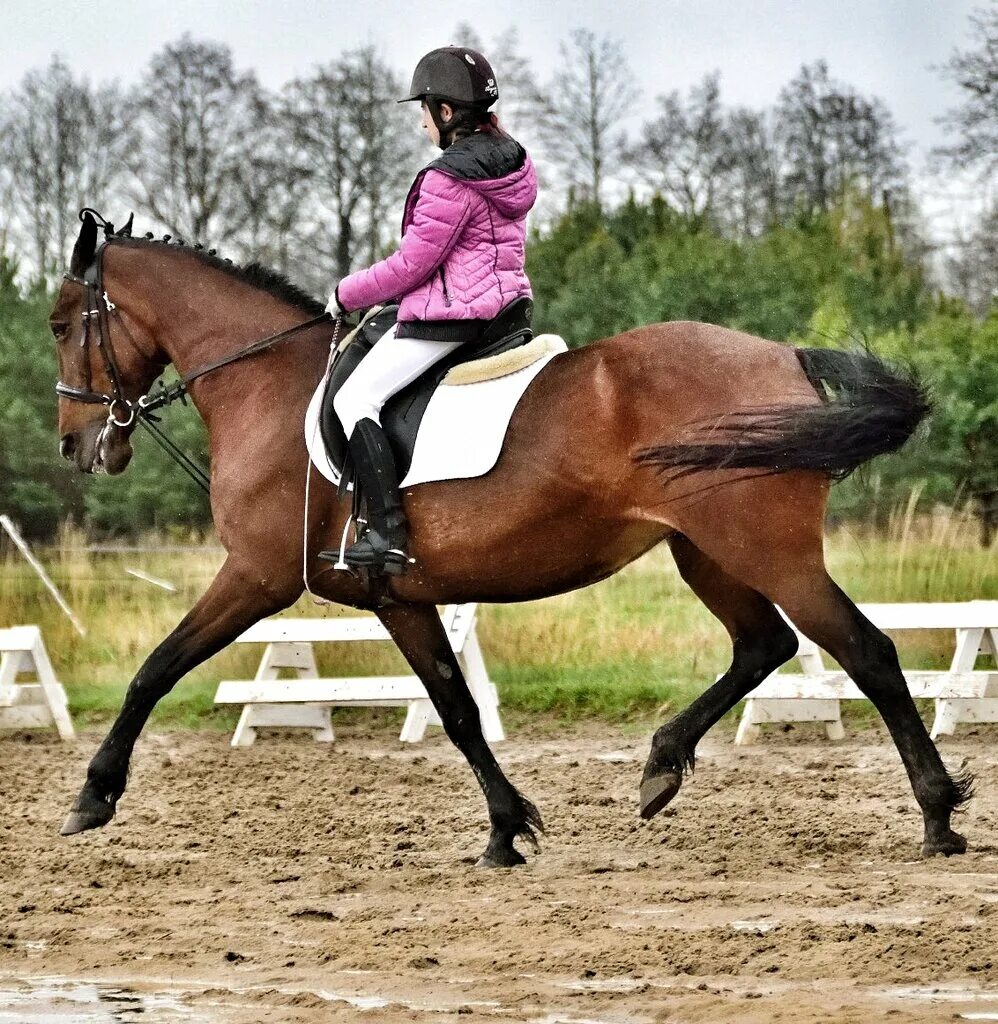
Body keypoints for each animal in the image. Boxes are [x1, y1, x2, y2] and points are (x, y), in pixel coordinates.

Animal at [50, 211, 970, 868]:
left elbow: (155, 669)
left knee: (865, 651)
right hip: (705, 551)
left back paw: (937, 817)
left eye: (62, 324)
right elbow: (456, 710)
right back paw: (661, 766)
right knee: (762, 645)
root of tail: (784, 357)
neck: (267, 387)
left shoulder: (256, 576)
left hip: (765, 551)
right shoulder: (399, 598)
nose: (76, 445)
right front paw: (505, 830)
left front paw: (93, 797)